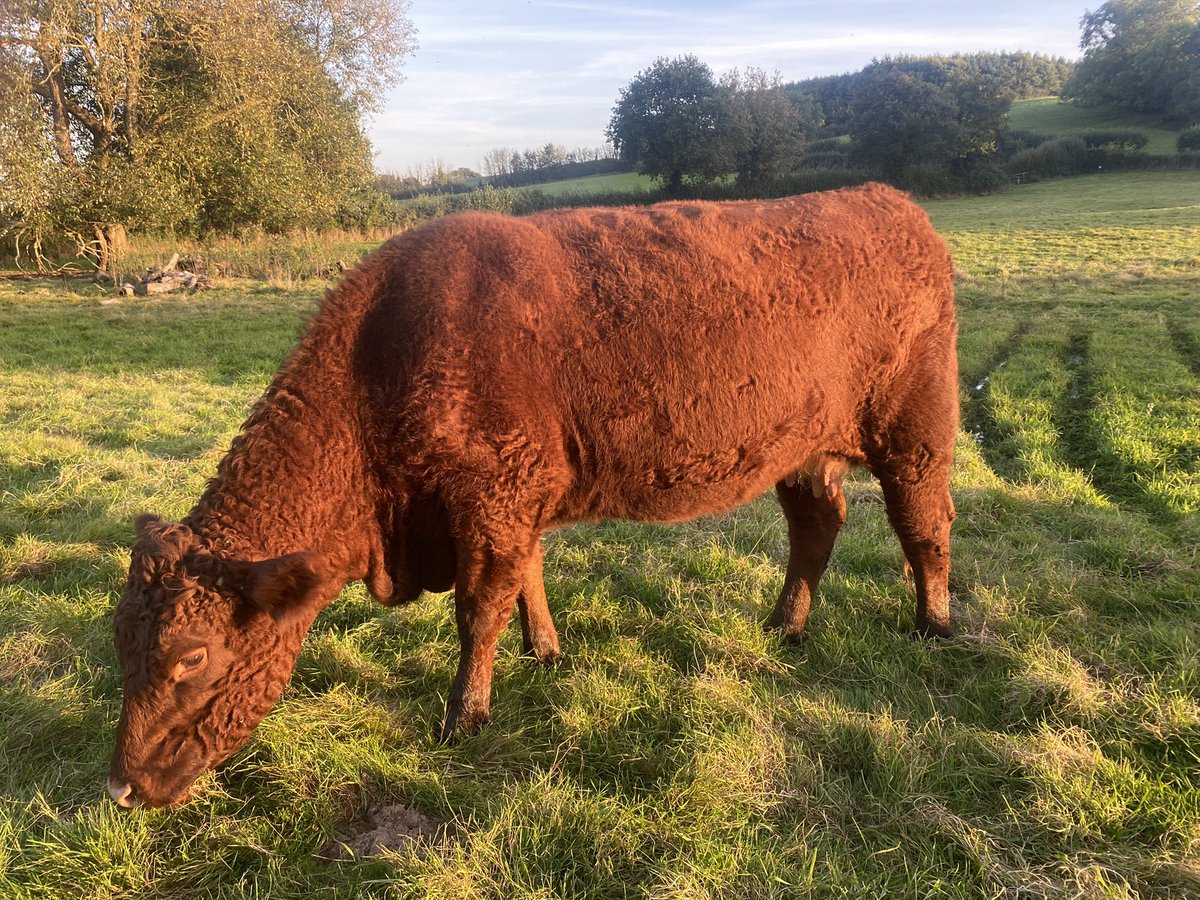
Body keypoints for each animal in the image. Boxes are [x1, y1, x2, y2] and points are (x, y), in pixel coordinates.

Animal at [108, 183, 958, 809]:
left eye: (191, 656)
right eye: (120, 642)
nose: (120, 787)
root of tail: (892, 205)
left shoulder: (493, 497)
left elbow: (479, 607)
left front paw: (464, 714)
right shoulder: (516, 503)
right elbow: (526, 580)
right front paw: (543, 650)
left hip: (915, 430)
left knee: (924, 524)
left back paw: (935, 624)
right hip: (805, 452)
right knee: (818, 525)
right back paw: (786, 625)